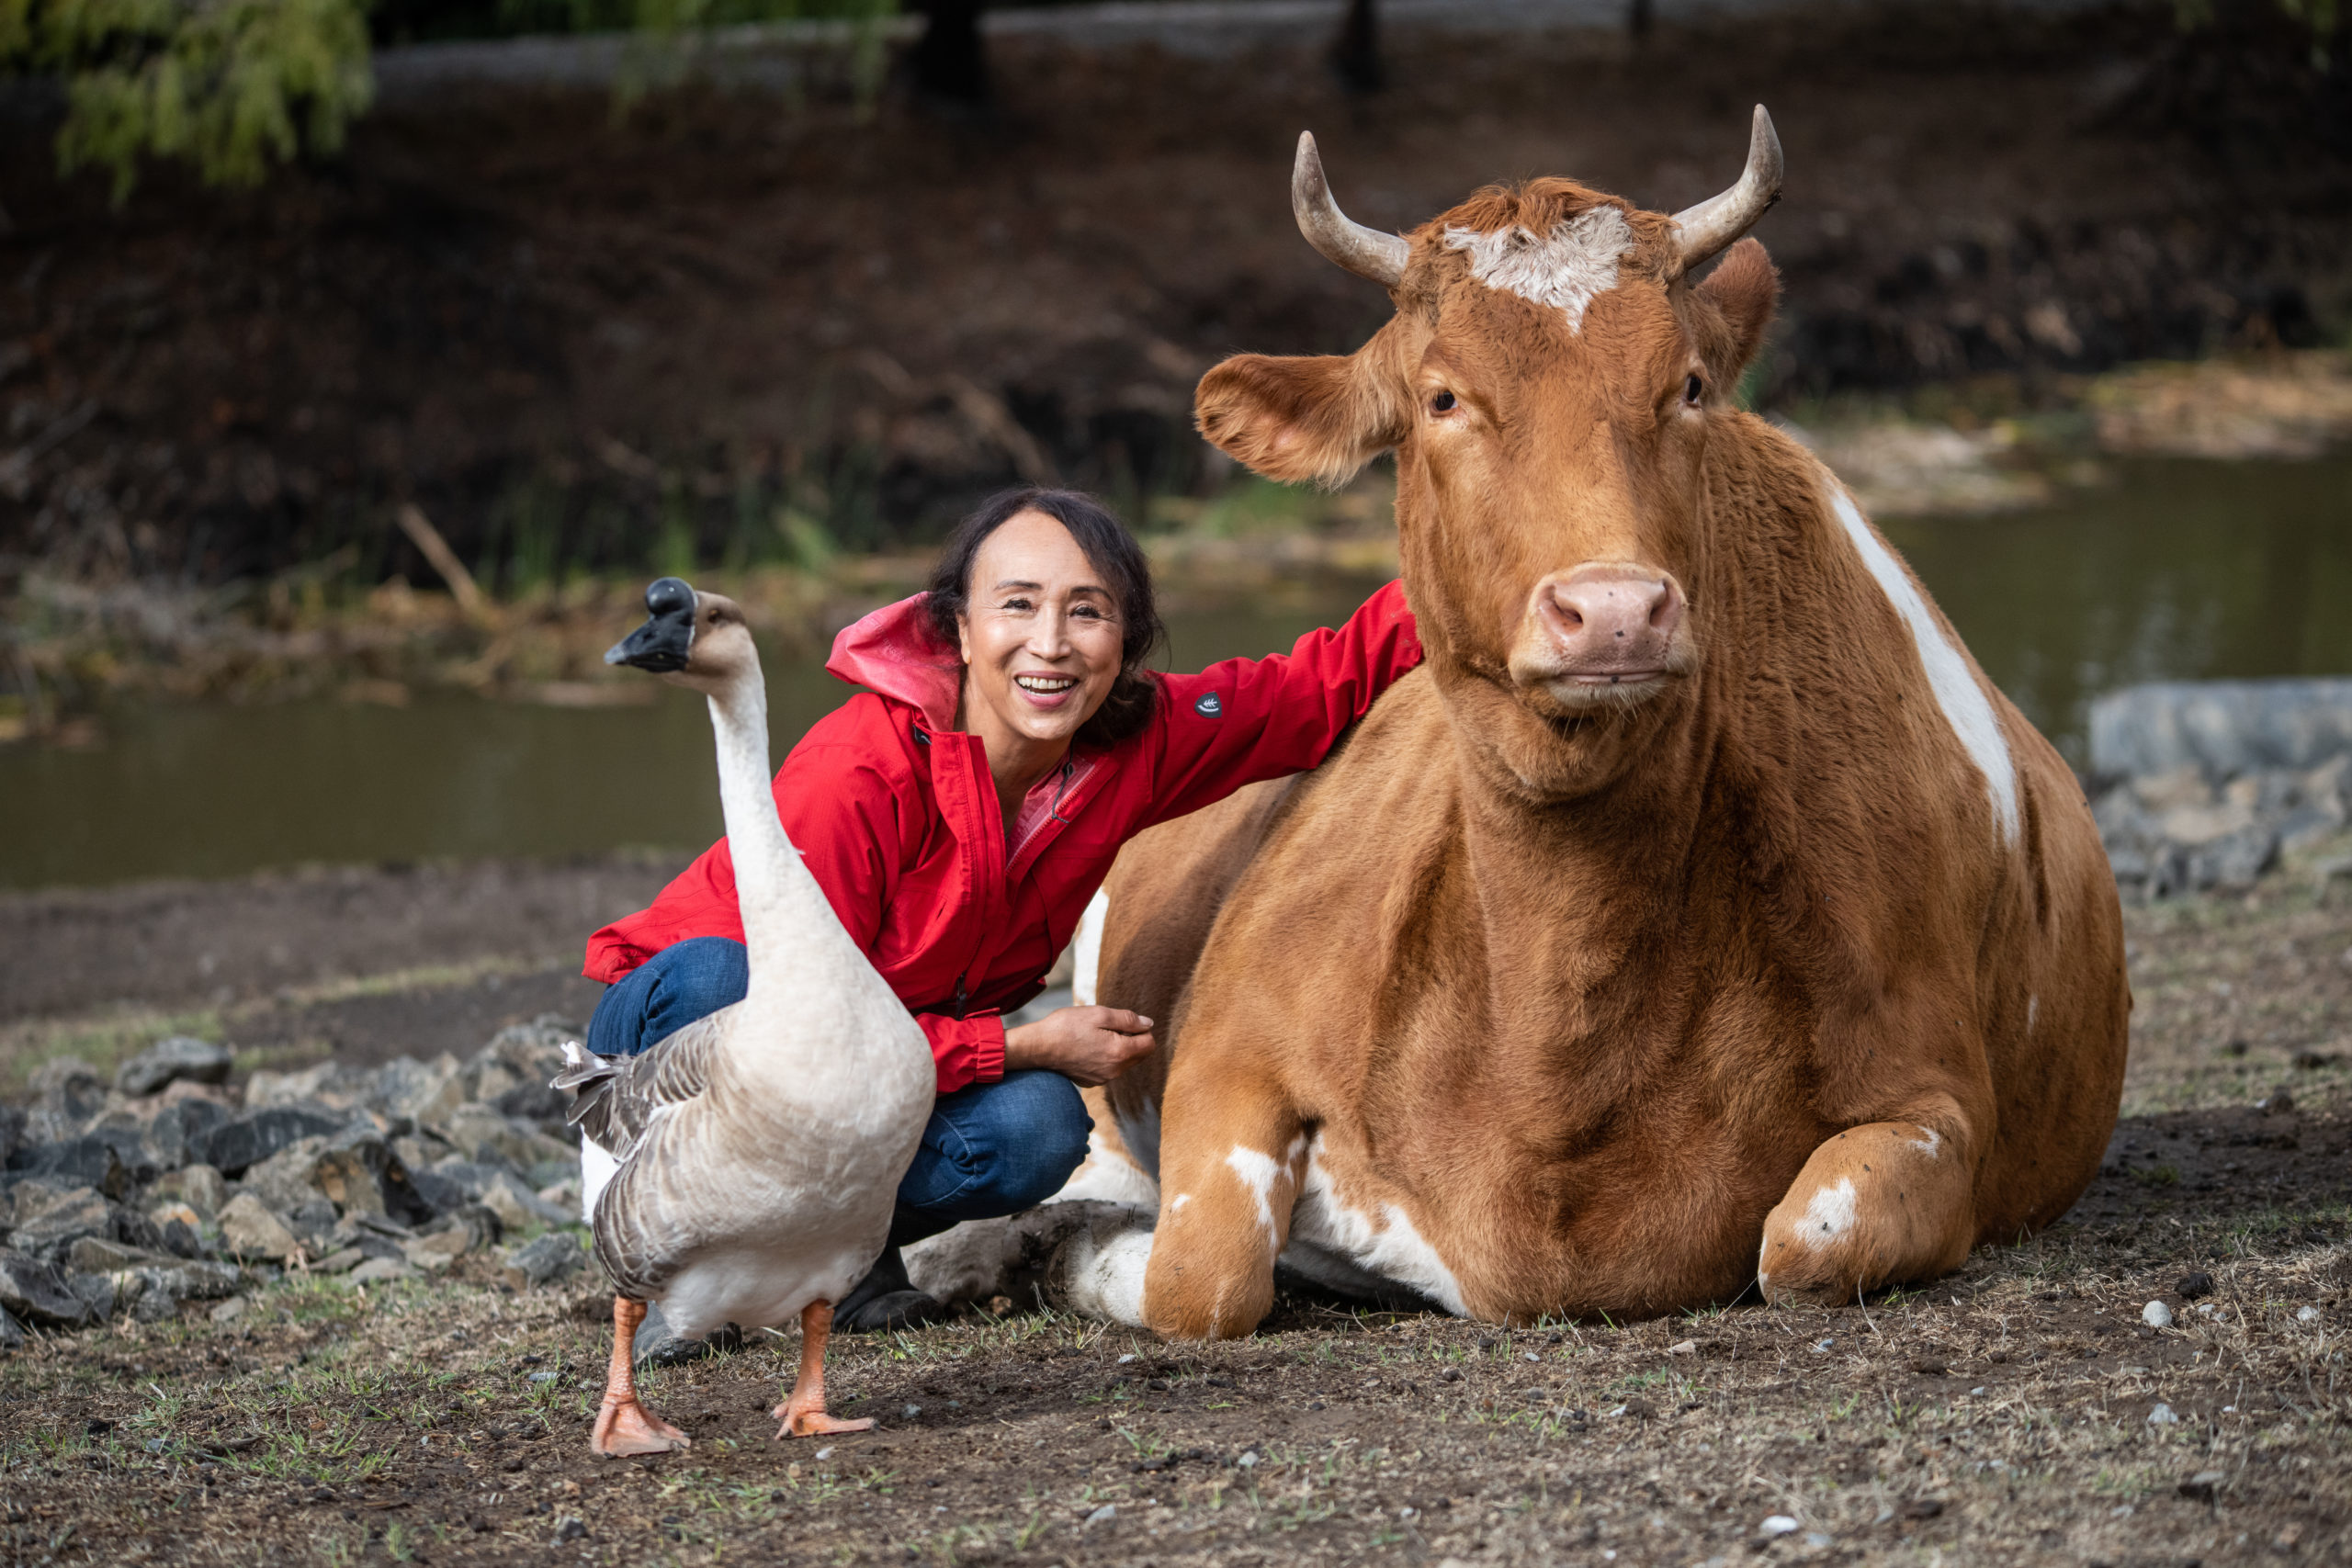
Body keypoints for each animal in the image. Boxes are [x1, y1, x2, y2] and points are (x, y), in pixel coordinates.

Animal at [931, 113, 2135, 1335]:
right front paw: (1055, 1248)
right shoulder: (1229, 1045)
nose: (1613, 609)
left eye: (1686, 386)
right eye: (1441, 399)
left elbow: (1806, 1241)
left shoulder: (1939, 1104)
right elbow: (1202, 1274)